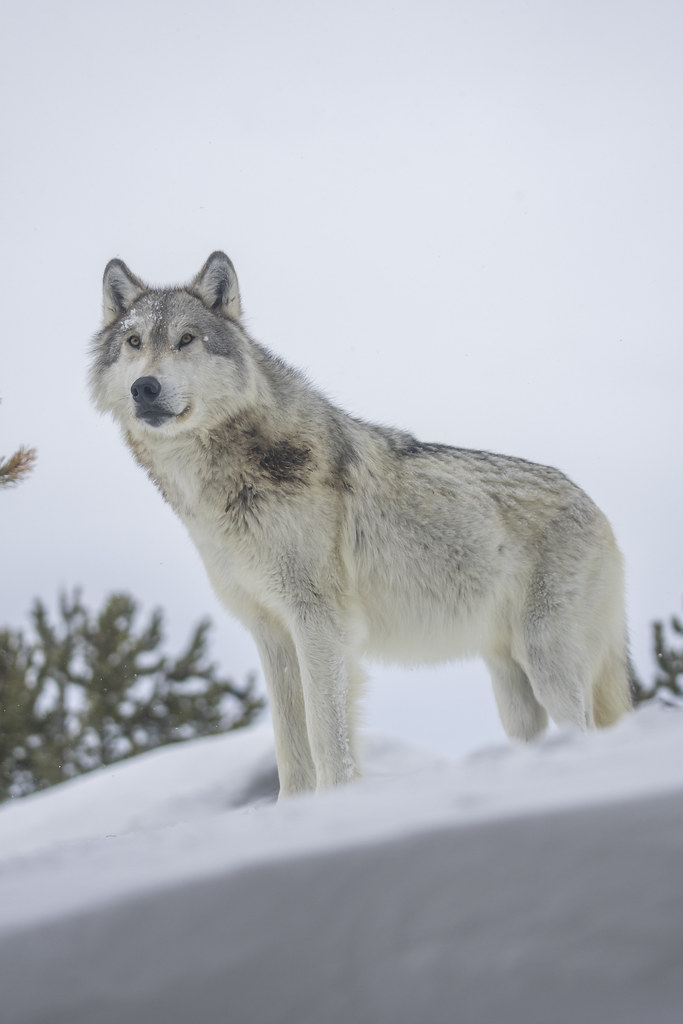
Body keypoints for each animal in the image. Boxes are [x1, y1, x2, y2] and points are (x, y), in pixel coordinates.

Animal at [89, 251, 632, 794]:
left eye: (186, 339)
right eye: (135, 342)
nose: (145, 388)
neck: (225, 486)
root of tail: (598, 510)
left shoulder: (319, 622)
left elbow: (326, 737)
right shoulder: (270, 631)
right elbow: (290, 750)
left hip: (546, 664)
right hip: (511, 688)